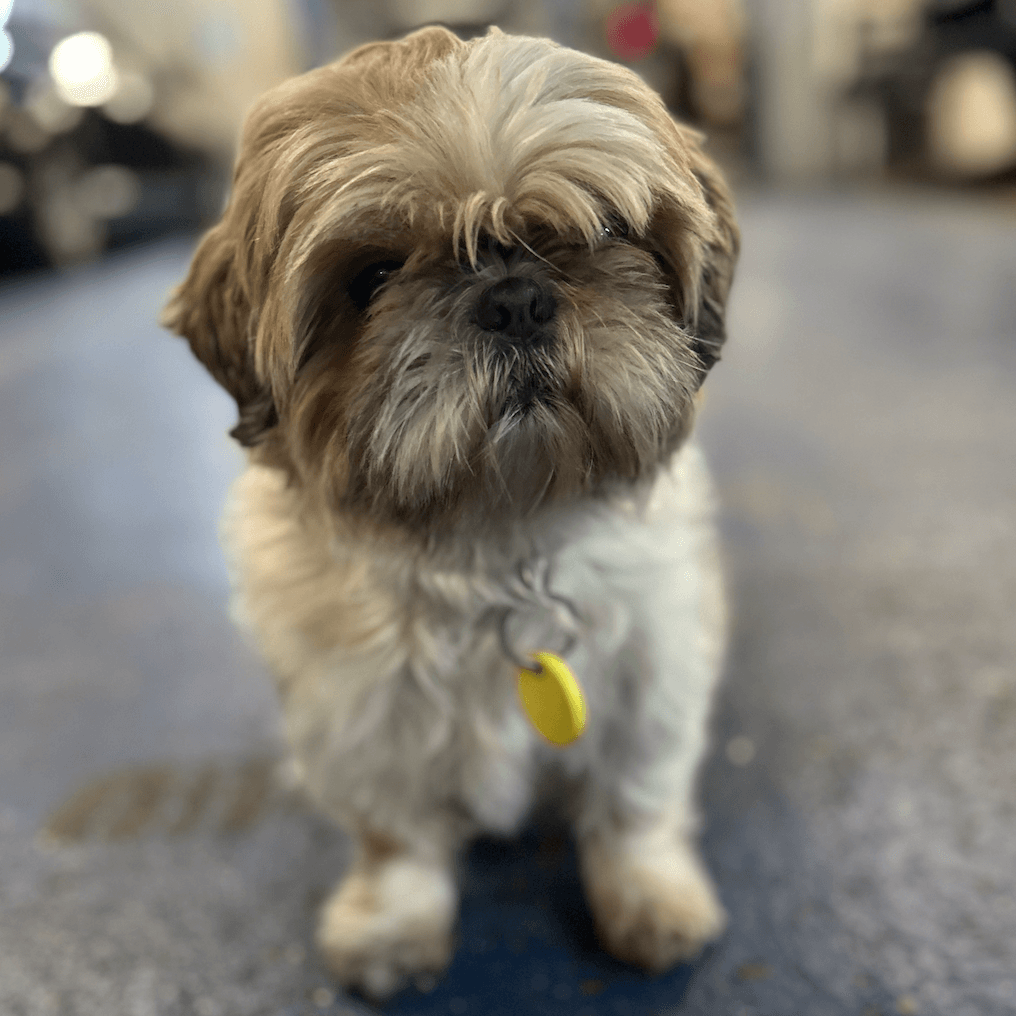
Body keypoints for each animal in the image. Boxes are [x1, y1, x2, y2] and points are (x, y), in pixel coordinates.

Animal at [162, 24, 738, 1000]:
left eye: (601, 230)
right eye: (373, 275)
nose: (515, 299)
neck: (493, 543)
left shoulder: (650, 676)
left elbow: (633, 804)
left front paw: (648, 893)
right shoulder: (358, 717)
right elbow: (397, 841)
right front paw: (394, 923)